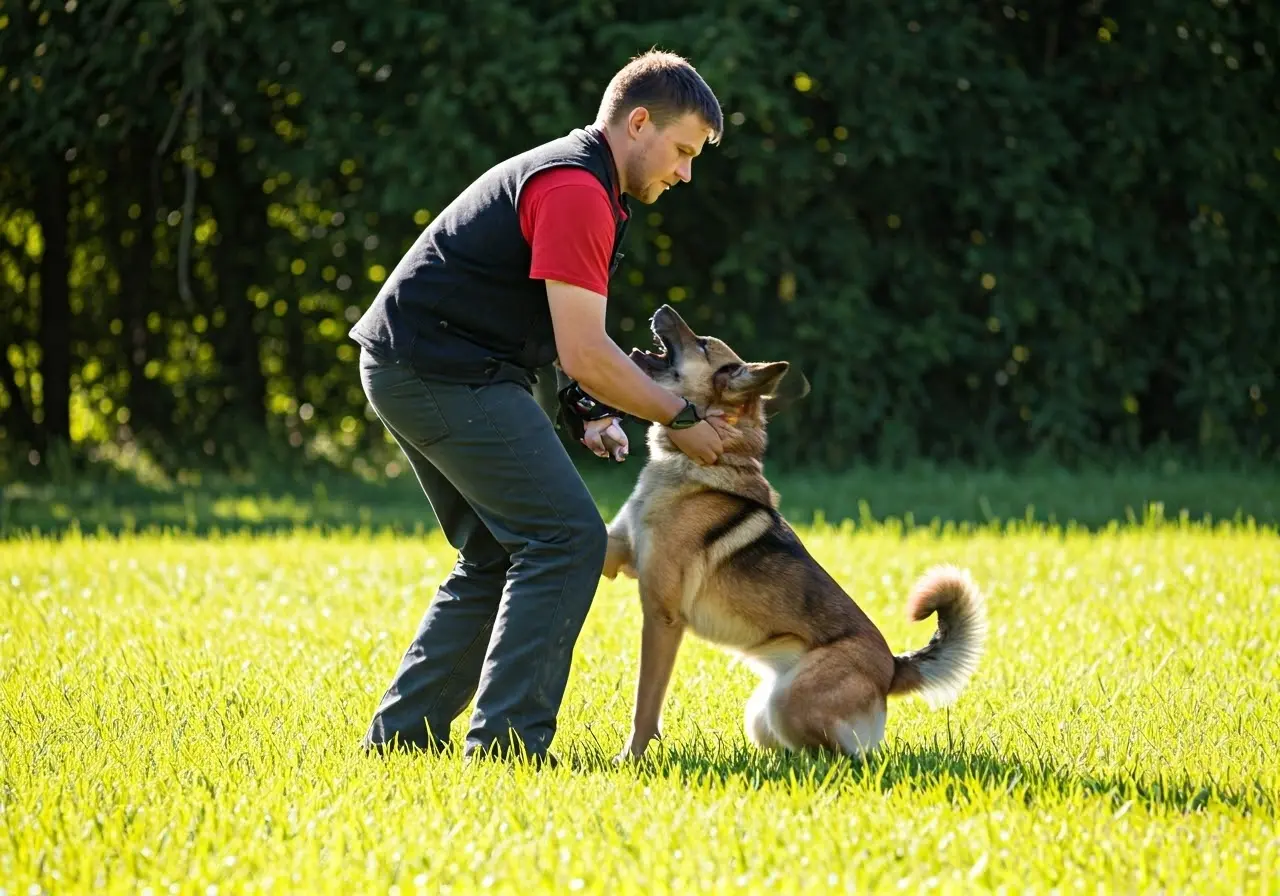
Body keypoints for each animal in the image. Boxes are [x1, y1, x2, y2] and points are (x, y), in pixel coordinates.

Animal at [601, 304, 988, 757]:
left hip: (788, 702)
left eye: (702, 344)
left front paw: (631, 757)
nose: (663, 309)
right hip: (763, 713)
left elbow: (646, 701)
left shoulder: (662, 617)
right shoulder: (619, 551)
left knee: (844, 757)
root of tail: (892, 669)